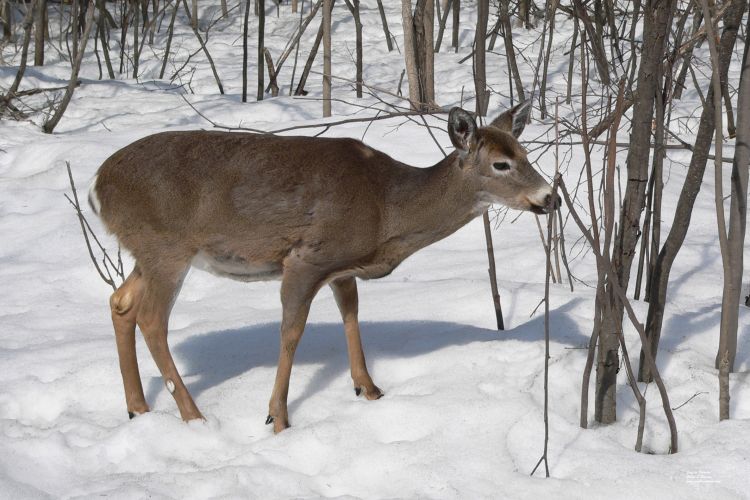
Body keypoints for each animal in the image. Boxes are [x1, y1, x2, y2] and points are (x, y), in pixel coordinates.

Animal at [89, 102, 560, 434]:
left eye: (525, 152)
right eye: (501, 163)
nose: (551, 197)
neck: (386, 209)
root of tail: (98, 187)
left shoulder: (342, 268)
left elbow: (351, 314)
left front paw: (369, 389)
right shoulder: (307, 258)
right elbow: (291, 333)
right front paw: (277, 418)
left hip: (146, 252)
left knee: (120, 302)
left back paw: (137, 408)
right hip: (166, 247)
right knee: (151, 319)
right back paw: (194, 417)